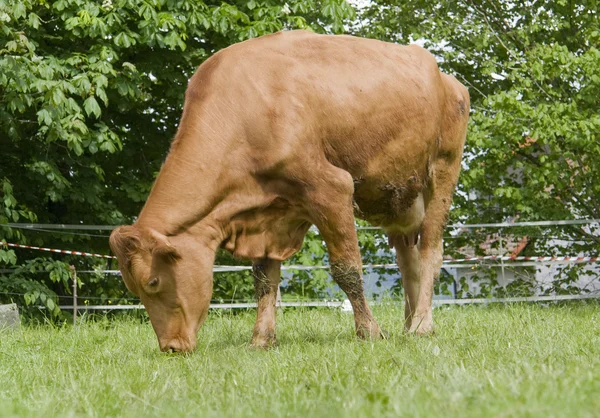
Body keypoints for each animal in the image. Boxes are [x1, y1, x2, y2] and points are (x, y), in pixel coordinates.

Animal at [110, 30, 472, 352]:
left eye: (153, 282)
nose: (171, 347)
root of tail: (445, 77)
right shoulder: (266, 212)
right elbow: (264, 279)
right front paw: (261, 340)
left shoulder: (331, 188)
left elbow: (347, 270)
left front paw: (369, 332)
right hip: (399, 198)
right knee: (408, 260)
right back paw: (409, 326)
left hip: (442, 172)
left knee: (431, 251)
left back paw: (422, 325)